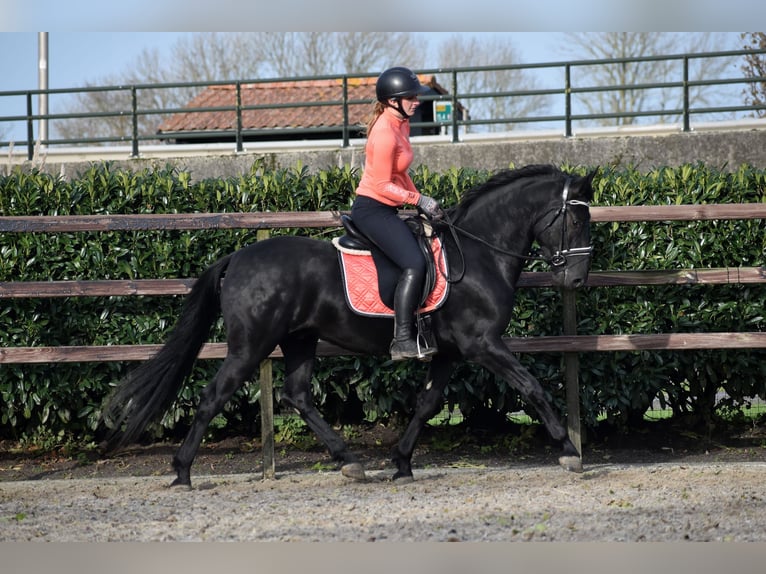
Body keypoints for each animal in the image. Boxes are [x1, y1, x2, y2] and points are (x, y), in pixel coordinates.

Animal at [102, 164, 596, 488]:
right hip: (251, 345)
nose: (576, 280)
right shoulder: (483, 344)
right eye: (576, 218)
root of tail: (238, 257)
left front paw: (402, 462)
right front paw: (569, 452)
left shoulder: (451, 353)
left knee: (298, 396)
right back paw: (182, 471)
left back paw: (349, 461)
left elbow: (426, 404)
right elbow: (531, 386)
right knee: (214, 396)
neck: (476, 255)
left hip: (300, 339)